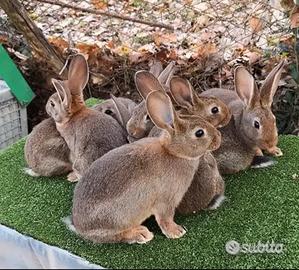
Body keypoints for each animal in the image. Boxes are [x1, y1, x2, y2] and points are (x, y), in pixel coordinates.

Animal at [68, 71, 223, 245]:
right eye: (199, 132)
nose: (218, 138)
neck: (173, 152)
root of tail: (80, 227)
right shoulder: (165, 202)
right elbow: (165, 218)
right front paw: (176, 232)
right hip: (117, 219)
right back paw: (141, 234)